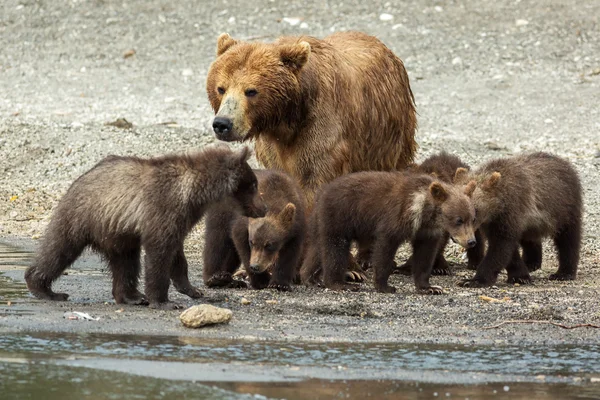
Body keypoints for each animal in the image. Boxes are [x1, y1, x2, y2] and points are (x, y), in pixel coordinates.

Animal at [206, 30, 418, 209]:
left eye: (251, 91)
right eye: (221, 88)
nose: (222, 124)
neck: (287, 118)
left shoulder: (321, 130)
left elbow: (314, 181)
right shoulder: (273, 146)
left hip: (385, 136)